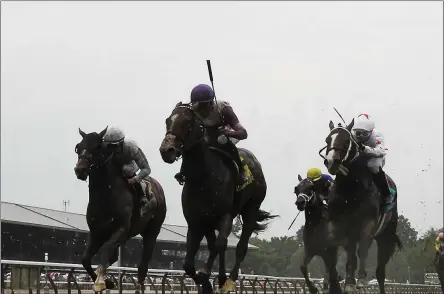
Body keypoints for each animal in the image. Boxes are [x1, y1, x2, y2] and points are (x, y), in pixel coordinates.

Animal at [73, 127, 166, 292]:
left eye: (97, 147)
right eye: (79, 147)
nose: (80, 169)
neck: (105, 197)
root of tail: (158, 187)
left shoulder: (122, 229)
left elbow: (105, 249)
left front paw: (101, 281)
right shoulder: (96, 232)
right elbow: (85, 259)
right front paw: (107, 281)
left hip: (152, 231)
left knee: (143, 265)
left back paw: (139, 287)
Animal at [160, 103, 278, 294]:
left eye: (187, 122)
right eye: (167, 121)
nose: (166, 150)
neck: (204, 178)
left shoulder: (224, 216)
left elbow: (220, 245)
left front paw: (207, 273)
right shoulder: (196, 222)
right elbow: (188, 264)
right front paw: (206, 283)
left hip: (251, 209)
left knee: (240, 246)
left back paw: (229, 280)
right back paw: (221, 278)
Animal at [320, 120, 402, 294]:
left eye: (346, 141)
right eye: (327, 140)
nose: (331, 161)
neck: (350, 190)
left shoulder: (367, 223)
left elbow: (362, 250)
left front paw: (361, 280)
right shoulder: (342, 225)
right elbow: (350, 254)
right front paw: (349, 282)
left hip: (385, 236)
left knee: (380, 271)